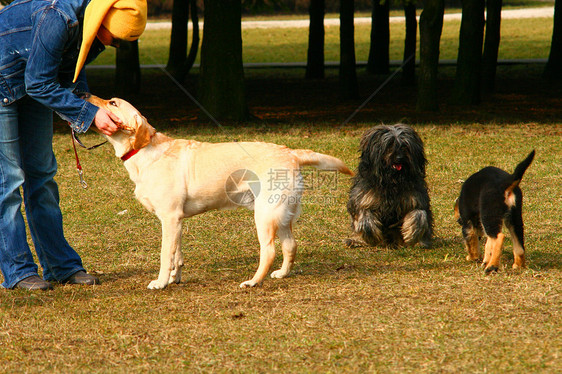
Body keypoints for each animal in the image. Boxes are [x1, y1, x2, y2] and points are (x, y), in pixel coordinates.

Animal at [86, 95, 350, 290]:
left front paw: (160, 283)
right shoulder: (177, 221)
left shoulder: (169, 218)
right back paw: (282, 274)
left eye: (112, 102)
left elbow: (164, 255)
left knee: (269, 250)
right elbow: (177, 255)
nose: (83, 93)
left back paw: (253, 281)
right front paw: (174, 278)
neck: (144, 151)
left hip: (265, 215)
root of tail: (291, 152)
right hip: (282, 215)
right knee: (291, 246)